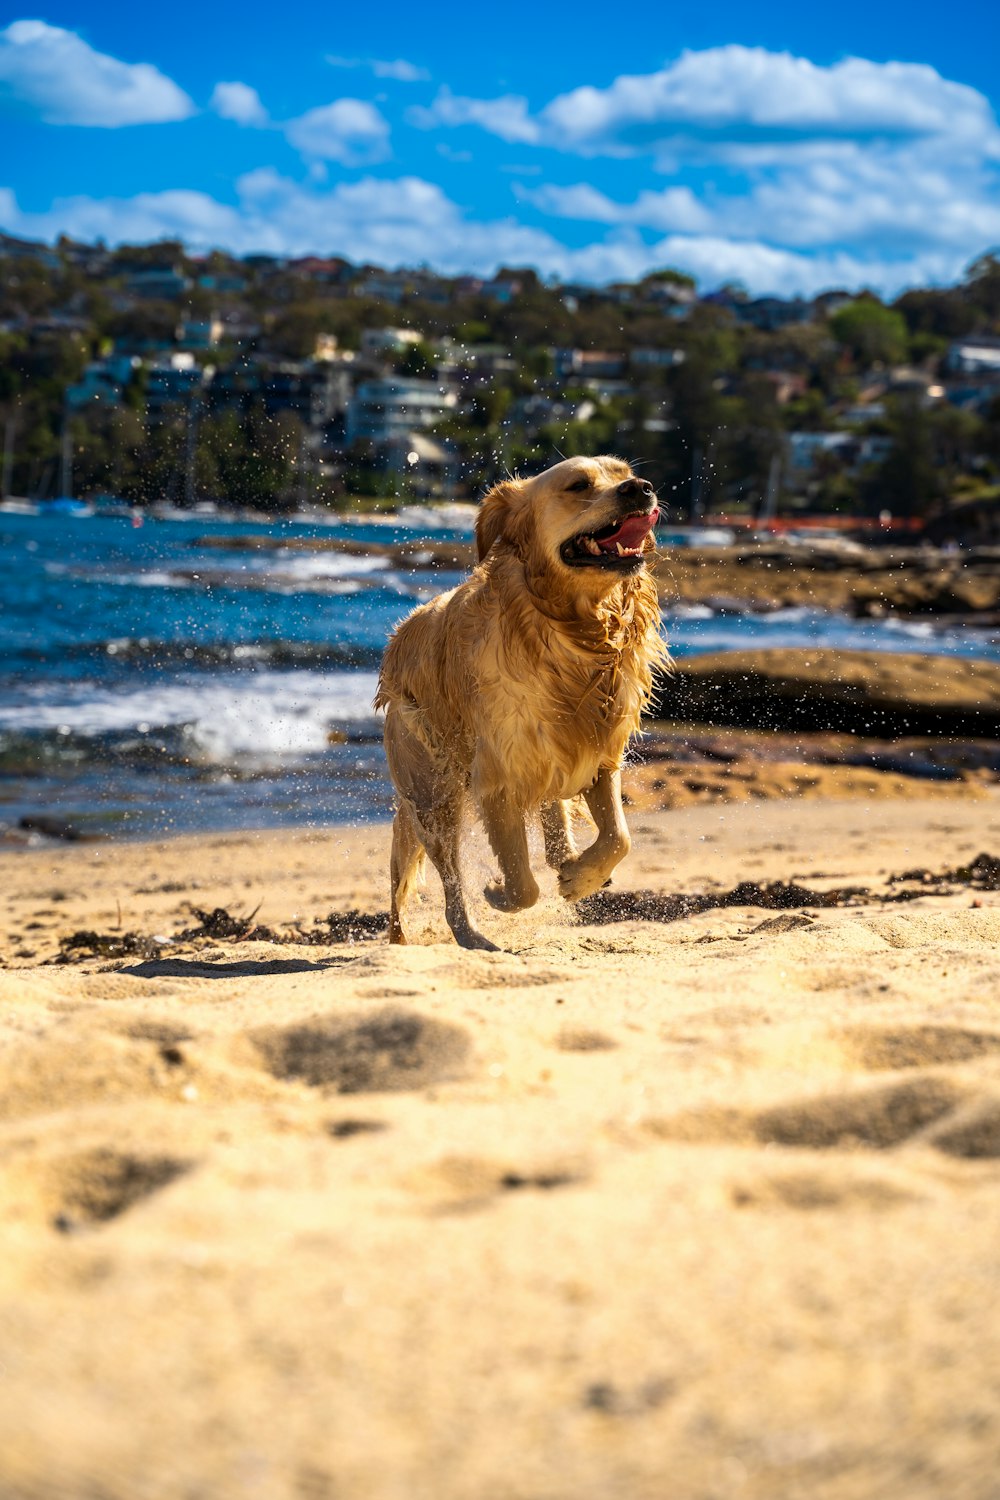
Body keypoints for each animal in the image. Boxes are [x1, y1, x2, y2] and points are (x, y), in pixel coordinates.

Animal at [379, 456, 668, 948]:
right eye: (578, 485)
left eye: (623, 472)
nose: (641, 488)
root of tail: (397, 637)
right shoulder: (498, 779)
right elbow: (522, 883)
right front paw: (499, 893)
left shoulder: (598, 751)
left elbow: (620, 836)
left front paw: (581, 877)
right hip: (433, 792)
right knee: (449, 881)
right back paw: (471, 936)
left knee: (554, 814)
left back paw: (568, 858)